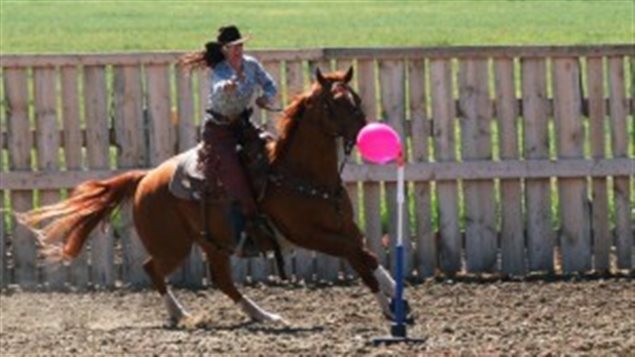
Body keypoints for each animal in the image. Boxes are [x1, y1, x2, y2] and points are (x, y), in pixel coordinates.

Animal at [18, 67, 402, 326]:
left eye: (356, 99)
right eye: (335, 104)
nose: (367, 130)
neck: (301, 173)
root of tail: (145, 178)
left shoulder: (346, 227)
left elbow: (365, 254)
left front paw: (396, 298)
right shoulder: (308, 235)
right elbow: (358, 257)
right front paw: (390, 305)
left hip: (212, 242)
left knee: (222, 280)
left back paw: (263, 316)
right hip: (173, 245)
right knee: (153, 268)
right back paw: (180, 313)